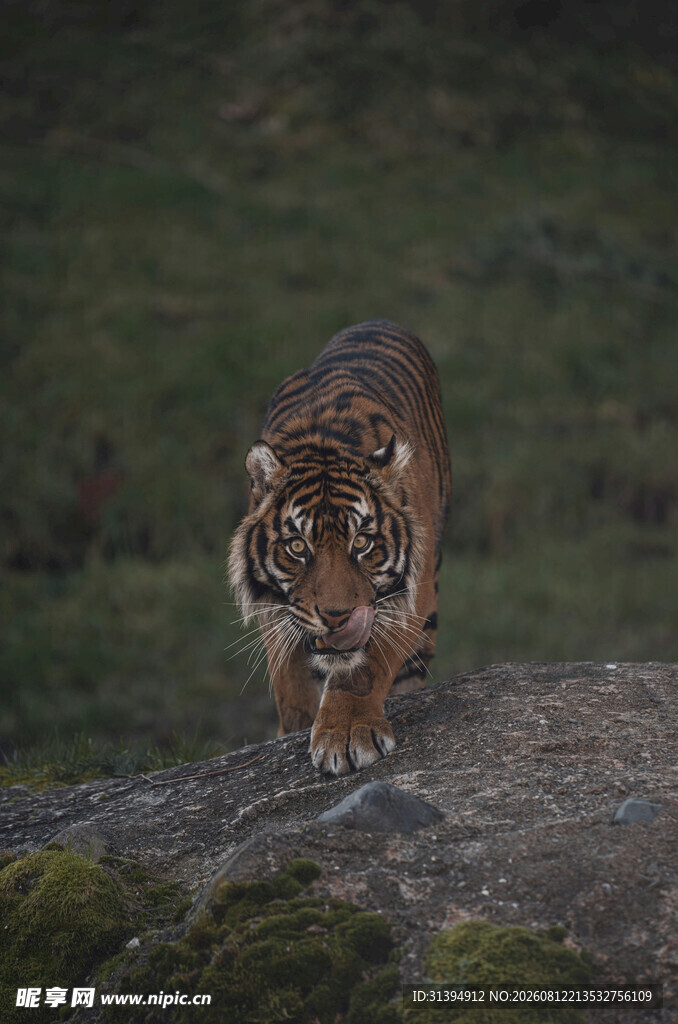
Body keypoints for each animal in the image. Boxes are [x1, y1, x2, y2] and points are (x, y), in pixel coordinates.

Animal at [228, 319, 451, 776]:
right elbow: (290, 683)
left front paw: (347, 735)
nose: (336, 617)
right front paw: (296, 729)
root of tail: (378, 320)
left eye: (361, 542)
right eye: (297, 546)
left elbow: (362, 669)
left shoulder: (408, 598)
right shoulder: (276, 609)